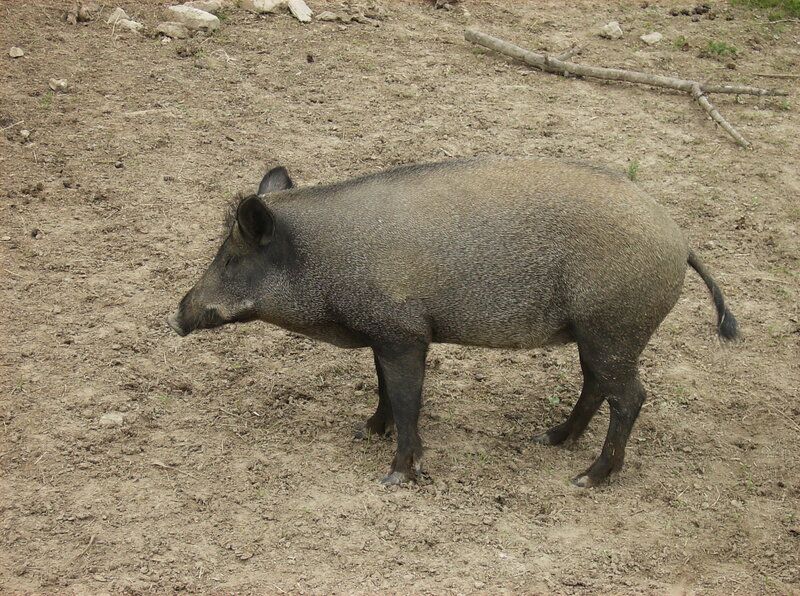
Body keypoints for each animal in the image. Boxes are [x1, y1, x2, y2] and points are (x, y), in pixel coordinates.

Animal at [167, 157, 738, 487]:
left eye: (231, 260)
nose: (176, 316)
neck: (322, 259)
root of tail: (680, 240)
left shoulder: (403, 333)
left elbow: (406, 399)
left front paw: (396, 477)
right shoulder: (385, 335)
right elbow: (383, 391)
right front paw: (365, 431)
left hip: (613, 329)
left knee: (631, 397)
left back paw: (587, 479)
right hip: (596, 336)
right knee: (596, 387)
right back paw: (549, 440)